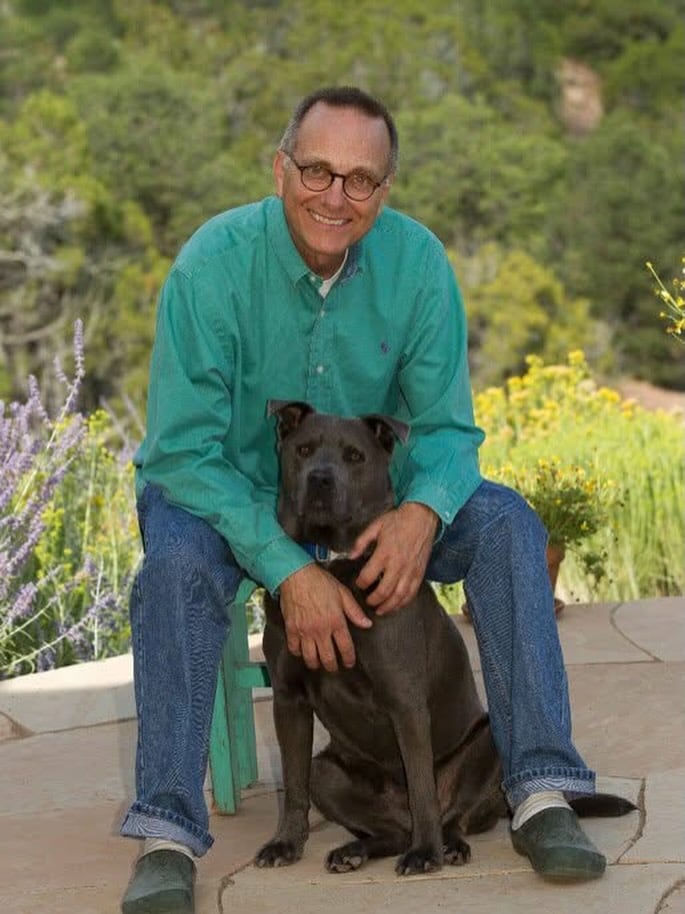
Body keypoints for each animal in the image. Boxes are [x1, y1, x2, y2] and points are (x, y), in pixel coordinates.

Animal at [254, 401, 634, 876]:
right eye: (304, 450)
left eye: (354, 456)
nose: (320, 479)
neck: (333, 563)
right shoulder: (288, 698)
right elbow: (292, 784)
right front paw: (285, 843)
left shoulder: (405, 698)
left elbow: (423, 788)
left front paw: (426, 853)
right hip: (326, 770)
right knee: (388, 830)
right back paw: (355, 850)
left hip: (491, 741)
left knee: (454, 814)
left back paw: (446, 844)